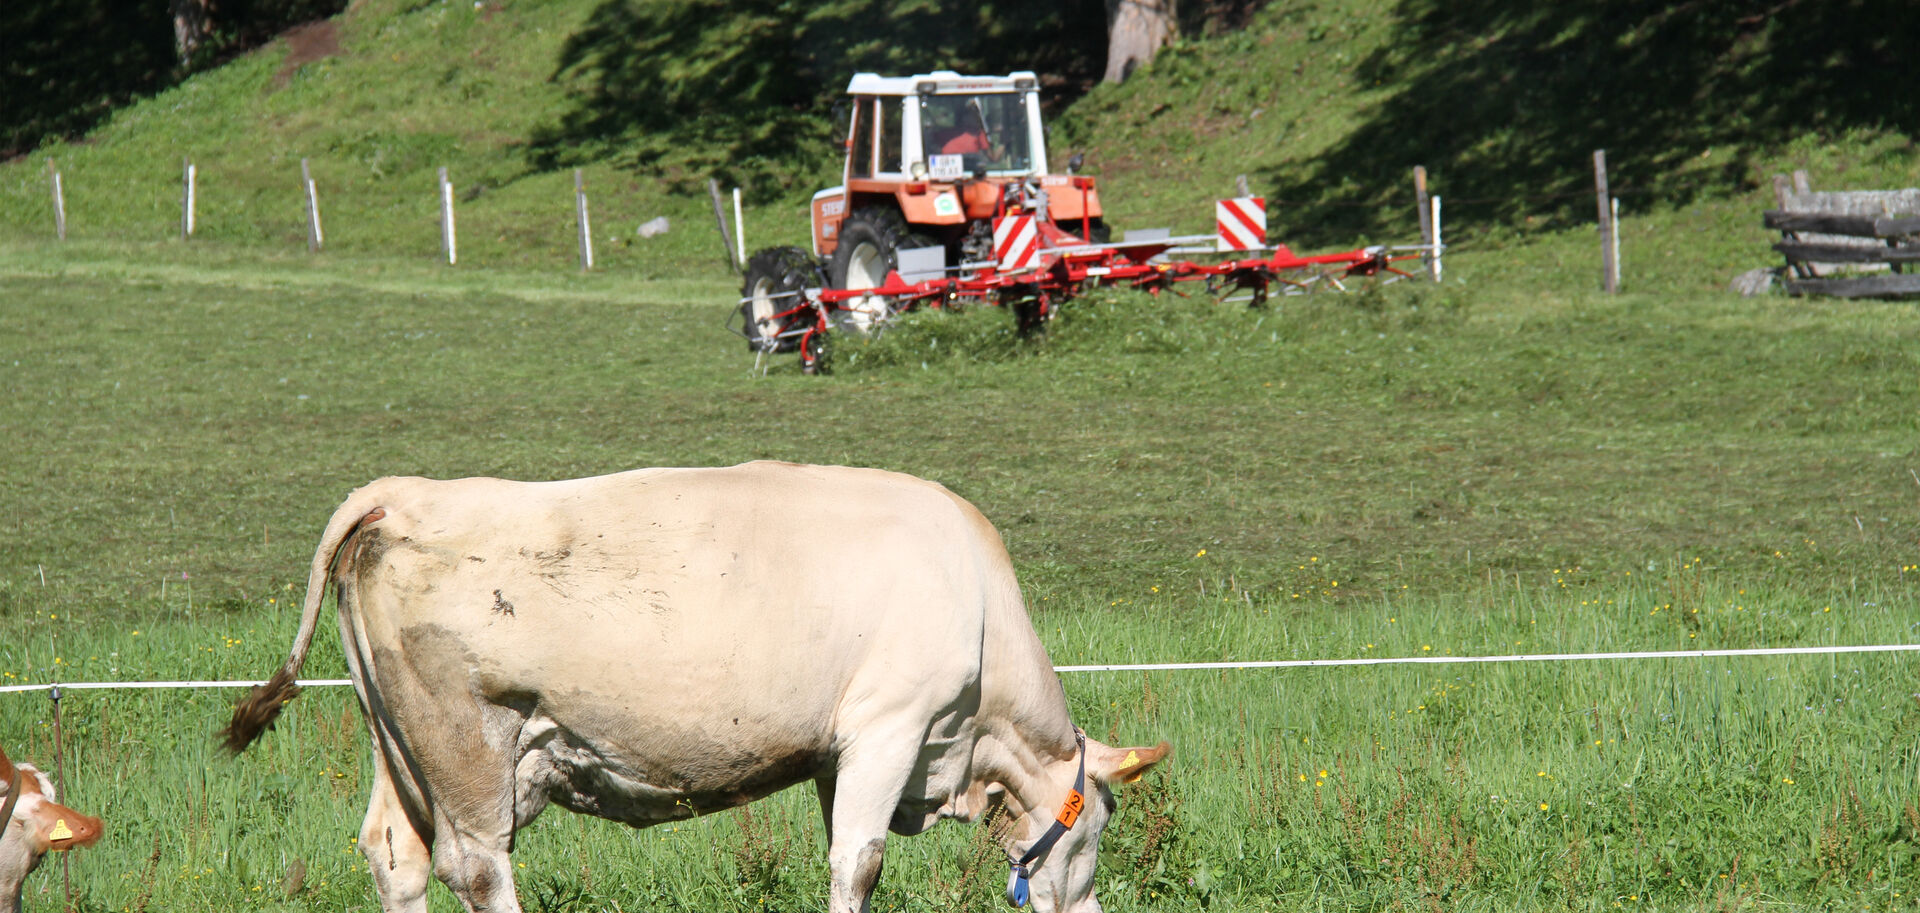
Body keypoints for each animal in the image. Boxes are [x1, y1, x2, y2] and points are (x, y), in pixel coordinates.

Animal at [217, 464, 1159, 913]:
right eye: (1096, 829)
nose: (1089, 909)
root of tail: (398, 495)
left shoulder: (836, 752)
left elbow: (846, 855)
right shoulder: (893, 723)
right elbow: (859, 861)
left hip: (398, 741)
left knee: (394, 854)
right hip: (466, 739)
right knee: (476, 865)